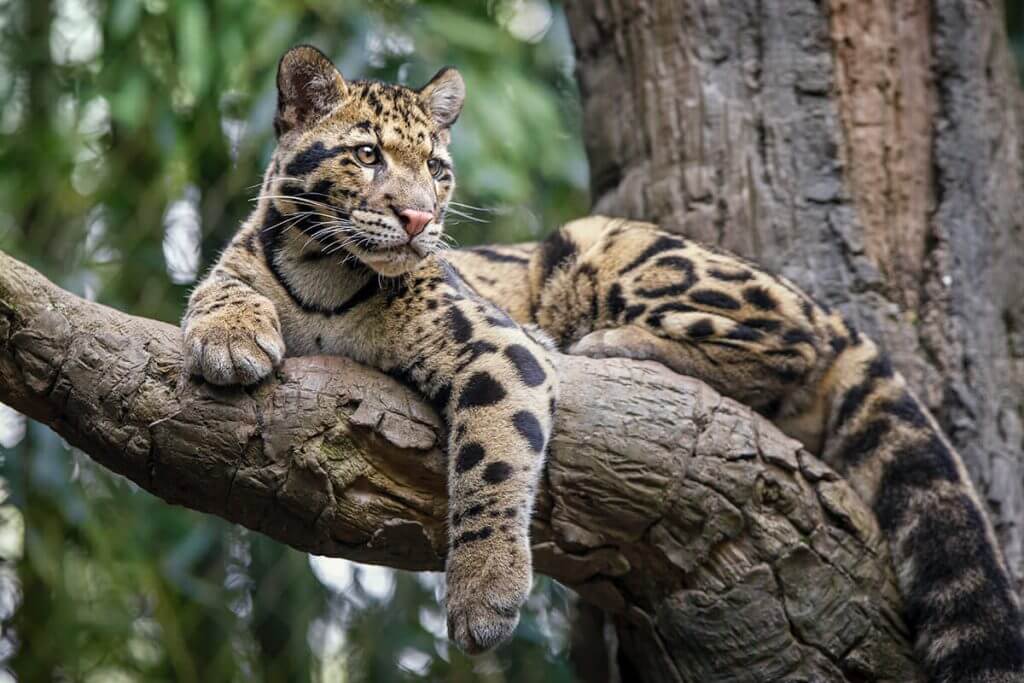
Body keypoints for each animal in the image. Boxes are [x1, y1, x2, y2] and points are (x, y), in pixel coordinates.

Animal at [186, 45, 1024, 679]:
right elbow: (216, 286)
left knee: (792, 344)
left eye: (438, 169)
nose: (421, 217)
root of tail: (828, 305)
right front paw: (228, 337)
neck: (324, 274)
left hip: (604, 245)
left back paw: (613, 344)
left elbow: (492, 460)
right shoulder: (247, 260)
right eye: (366, 155)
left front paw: (484, 594)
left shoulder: (498, 343)